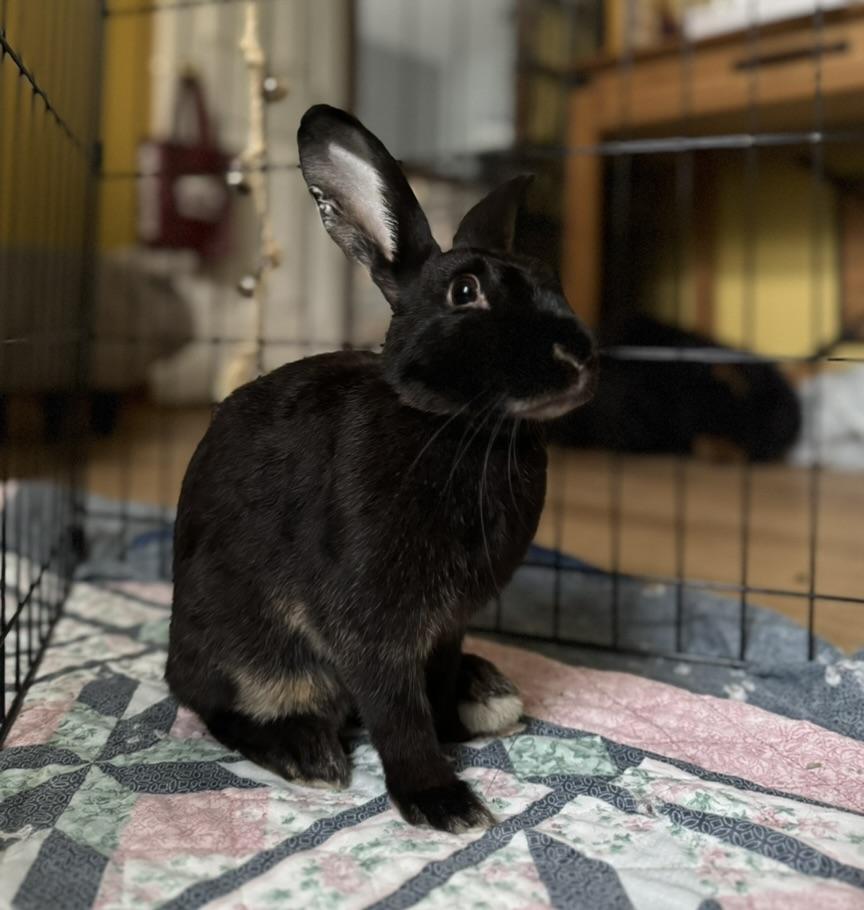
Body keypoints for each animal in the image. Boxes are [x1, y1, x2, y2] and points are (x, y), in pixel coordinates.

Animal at [166, 104, 597, 833]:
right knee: (215, 703)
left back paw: (487, 694)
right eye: (464, 291)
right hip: (241, 641)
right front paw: (443, 801)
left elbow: (433, 681)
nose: (576, 360)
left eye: (552, 281)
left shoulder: (448, 622)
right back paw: (307, 751)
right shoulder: (371, 622)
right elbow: (396, 710)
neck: (459, 428)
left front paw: (453, 723)